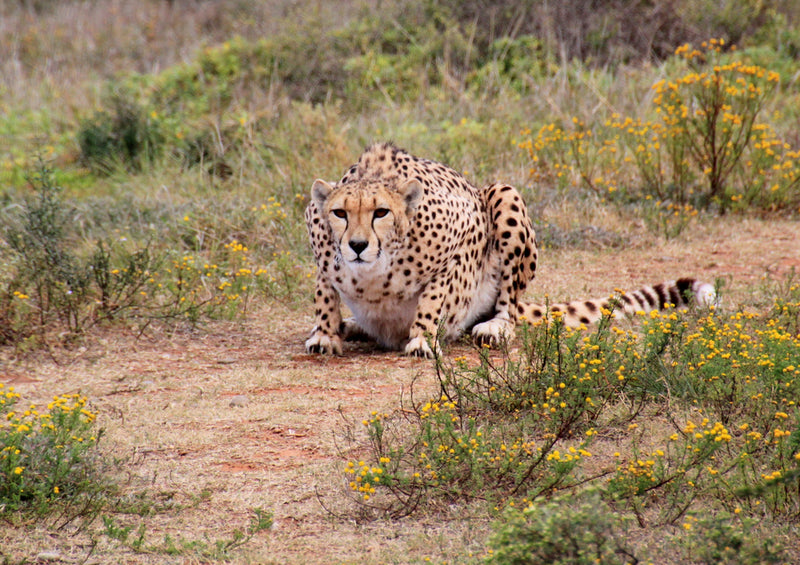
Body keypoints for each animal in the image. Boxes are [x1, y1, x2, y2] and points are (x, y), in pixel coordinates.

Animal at [304, 145, 716, 356]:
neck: (374, 272)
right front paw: (326, 333)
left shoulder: (466, 233)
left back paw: (495, 327)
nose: (357, 245)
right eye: (340, 213)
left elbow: (436, 294)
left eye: (381, 212)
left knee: (509, 304)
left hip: (504, 195)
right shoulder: (320, 248)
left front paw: (421, 337)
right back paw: (351, 325)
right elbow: (325, 293)